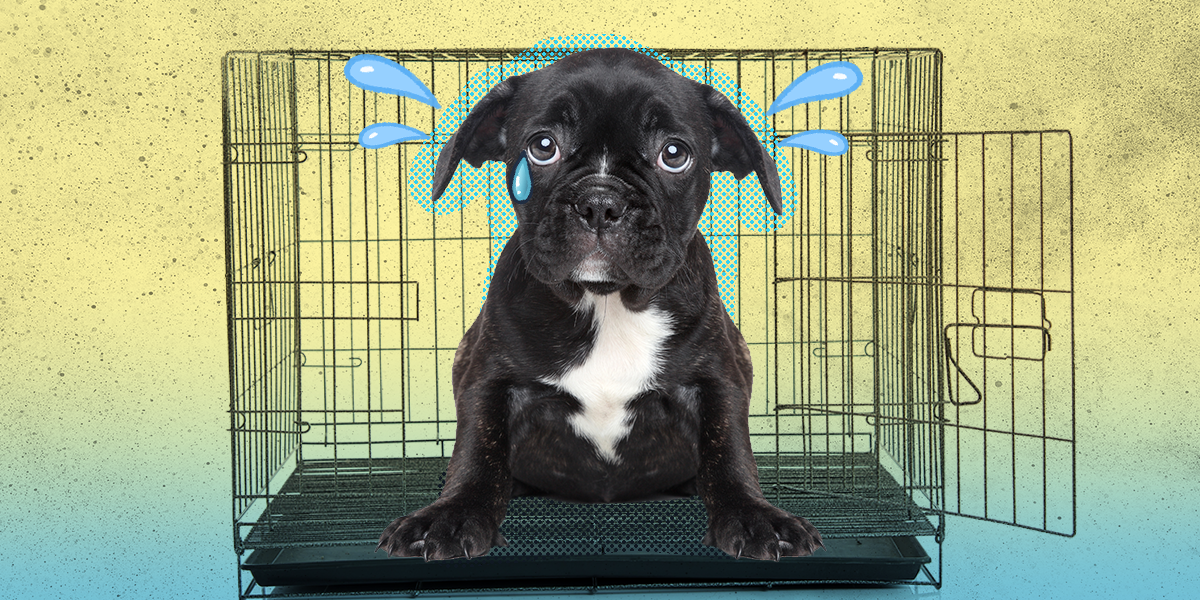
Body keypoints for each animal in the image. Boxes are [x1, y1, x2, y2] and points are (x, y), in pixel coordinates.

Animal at [379, 48, 820, 561]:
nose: (600, 201)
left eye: (674, 154)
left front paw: (754, 515)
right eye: (542, 146)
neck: (606, 303)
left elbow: (728, 450)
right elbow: (476, 451)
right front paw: (451, 514)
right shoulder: (486, 377)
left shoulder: (718, 377)